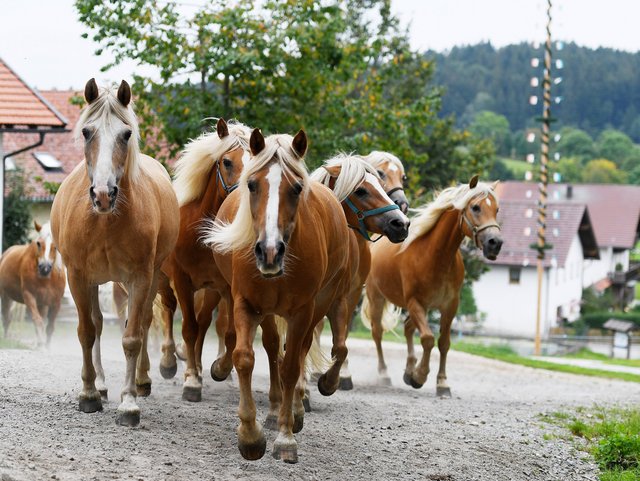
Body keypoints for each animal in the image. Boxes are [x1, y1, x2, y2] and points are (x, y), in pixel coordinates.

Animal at [49, 77, 180, 426]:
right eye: (86, 132)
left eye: (126, 134)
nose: (103, 194)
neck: (106, 221)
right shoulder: (78, 277)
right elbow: (86, 332)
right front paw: (89, 393)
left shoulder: (140, 277)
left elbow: (132, 336)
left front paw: (129, 403)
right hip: (95, 281)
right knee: (96, 324)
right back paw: (102, 384)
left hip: (149, 278)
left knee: (143, 321)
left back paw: (140, 382)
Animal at [208, 129, 352, 464]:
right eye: (252, 184)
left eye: (297, 188)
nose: (269, 251)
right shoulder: (246, 304)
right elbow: (245, 358)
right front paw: (250, 435)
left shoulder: (302, 311)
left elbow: (290, 367)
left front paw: (285, 438)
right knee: (273, 347)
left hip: (320, 303)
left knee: (298, 353)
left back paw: (294, 410)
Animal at [362, 175, 502, 394]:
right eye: (476, 207)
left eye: (497, 209)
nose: (495, 243)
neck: (436, 256)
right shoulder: (415, 303)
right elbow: (428, 339)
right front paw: (419, 376)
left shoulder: (449, 306)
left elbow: (444, 342)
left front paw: (441, 382)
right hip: (377, 298)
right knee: (378, 333)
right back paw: (384, 374)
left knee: (407, 328)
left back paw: (408, 369)